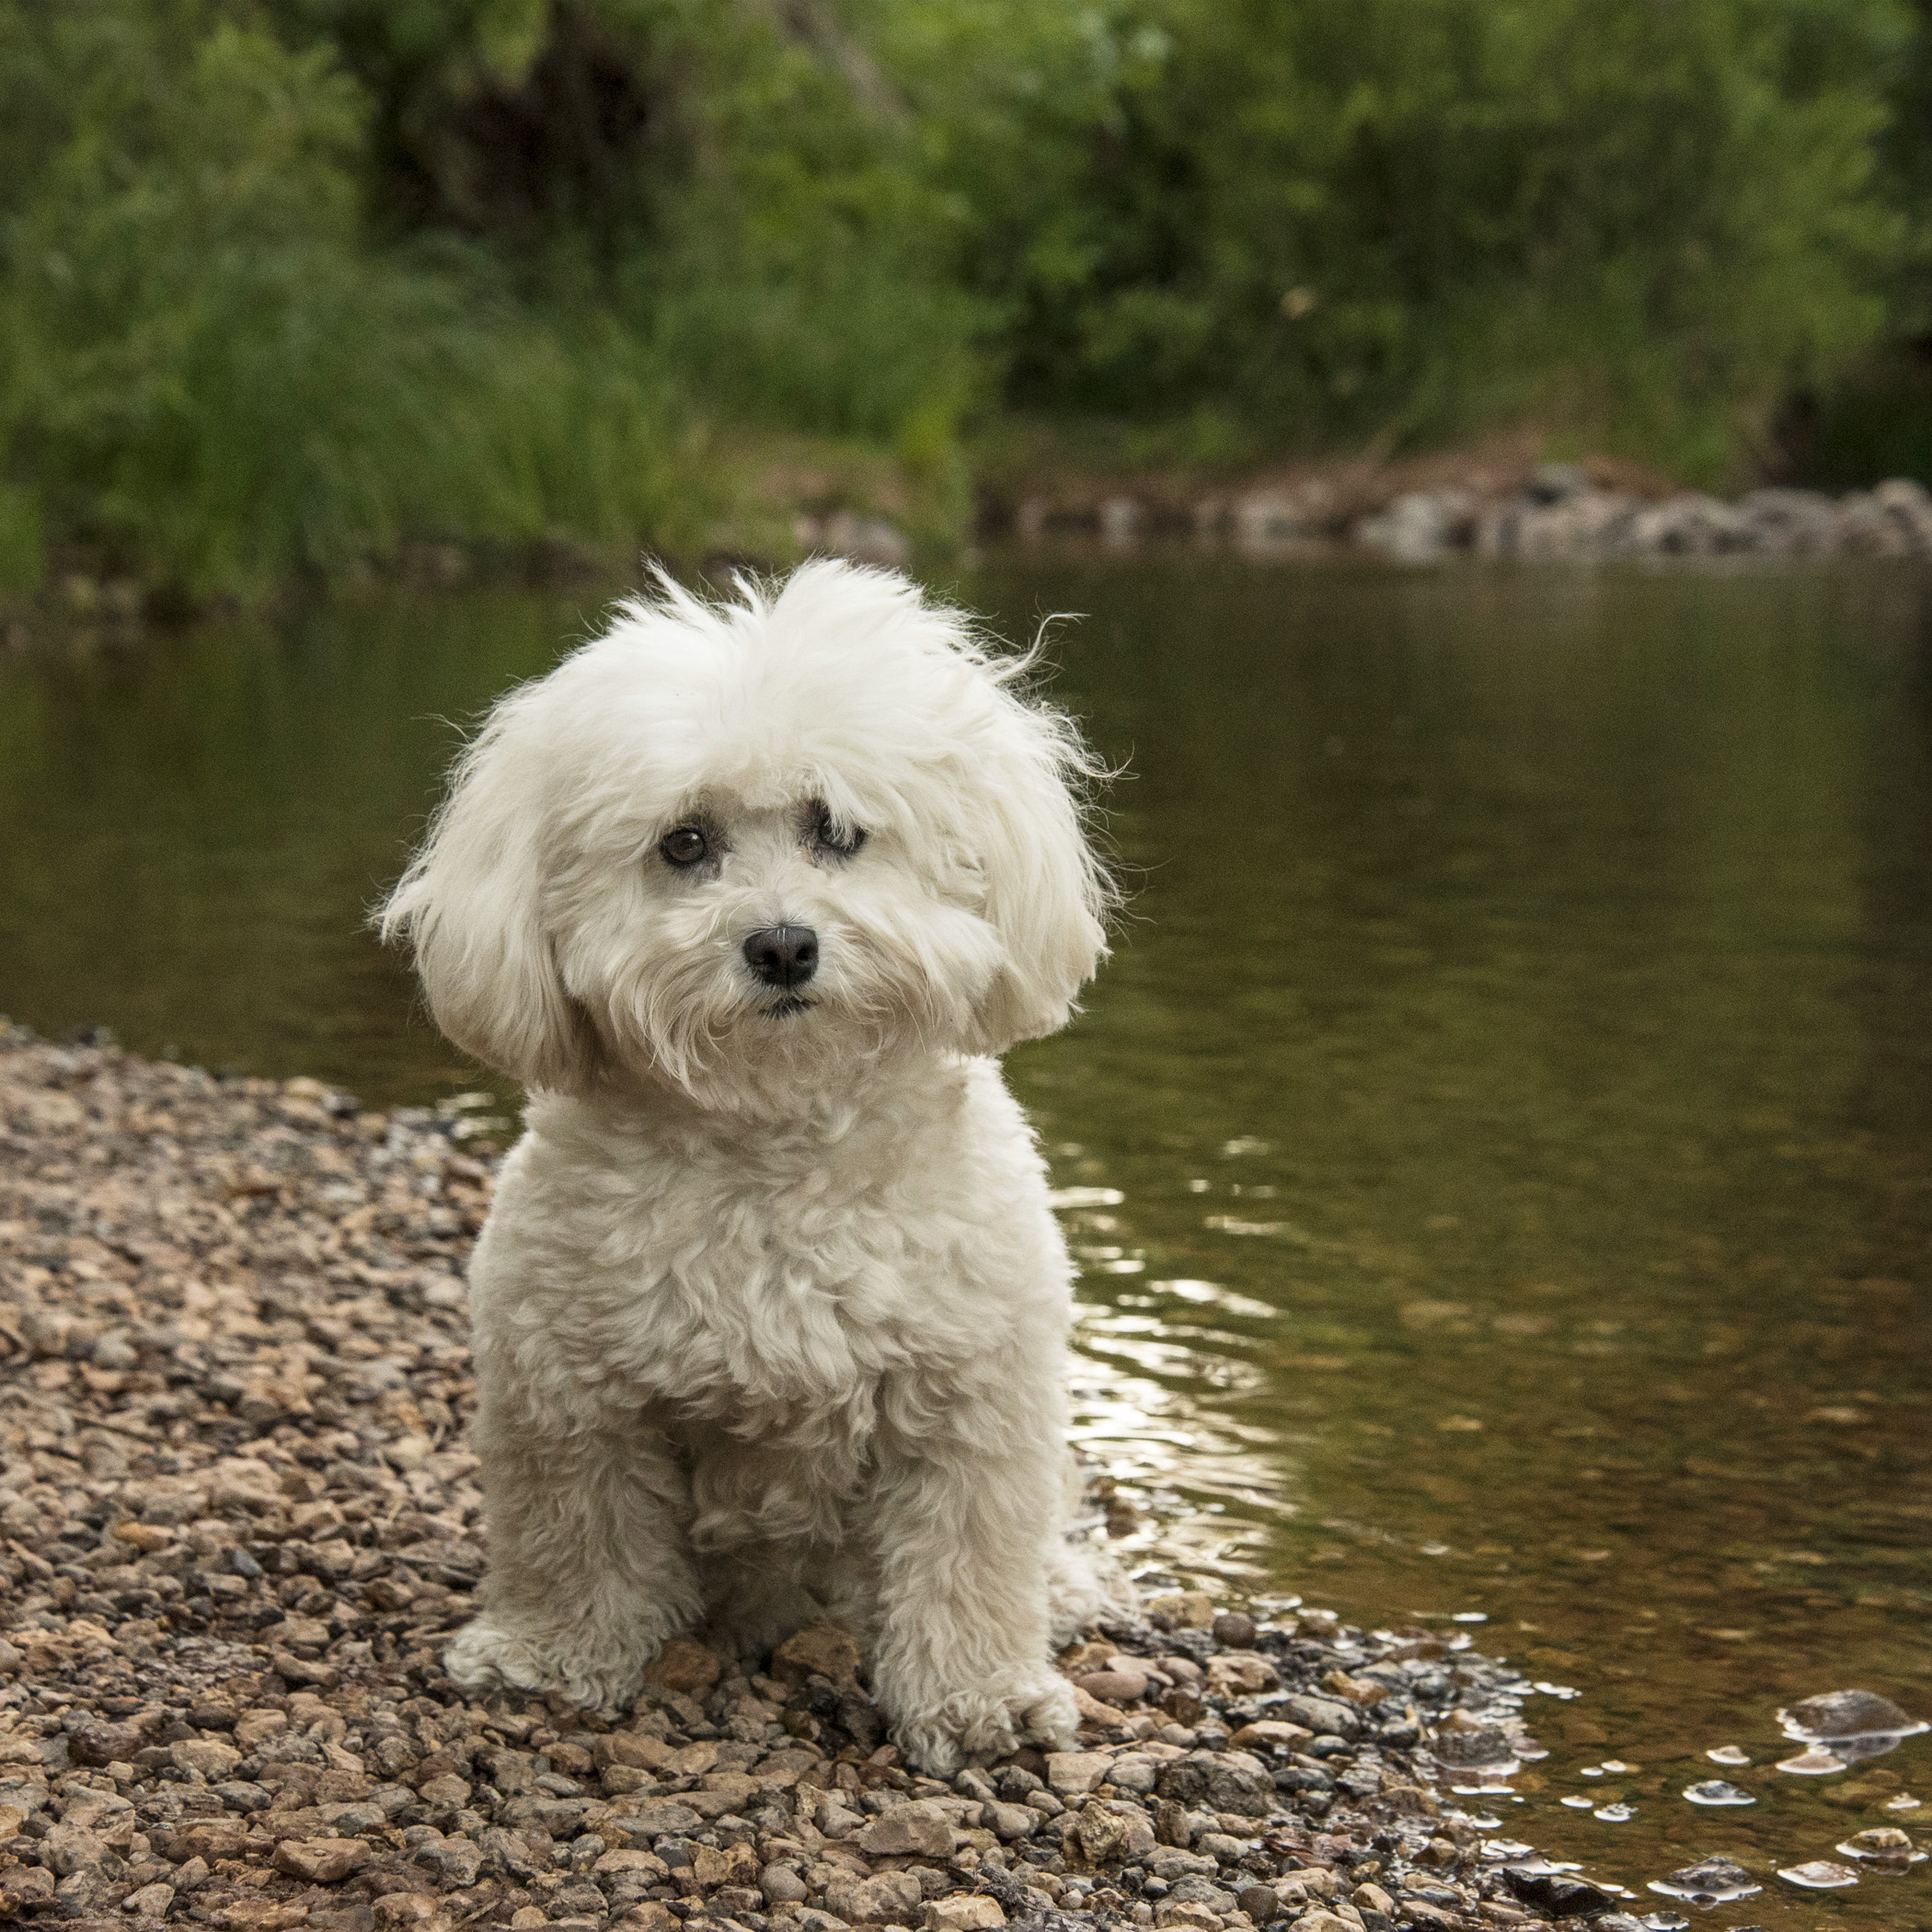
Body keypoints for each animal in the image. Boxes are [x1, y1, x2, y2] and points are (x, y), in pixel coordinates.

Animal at [378, 556, 1128, 1769]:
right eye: (685, 843)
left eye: (839, 830)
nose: (782, 945)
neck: (775, 1147)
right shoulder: (569, 1401)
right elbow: (573, 1538)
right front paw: (551, 1656)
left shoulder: (971, 1411)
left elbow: (966, 1563)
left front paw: (979, 1698)